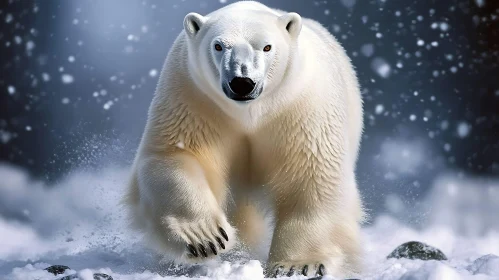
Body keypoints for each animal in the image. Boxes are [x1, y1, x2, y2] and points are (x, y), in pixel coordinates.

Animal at [126, 1, 364, 278]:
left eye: (267, 46)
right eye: (218, 45)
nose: (242, 82)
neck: (250, 112)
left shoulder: (303, 106)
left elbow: (312, 174)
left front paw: (297, 265)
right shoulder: (193, 97)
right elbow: (176, 155)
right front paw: (206, 238)